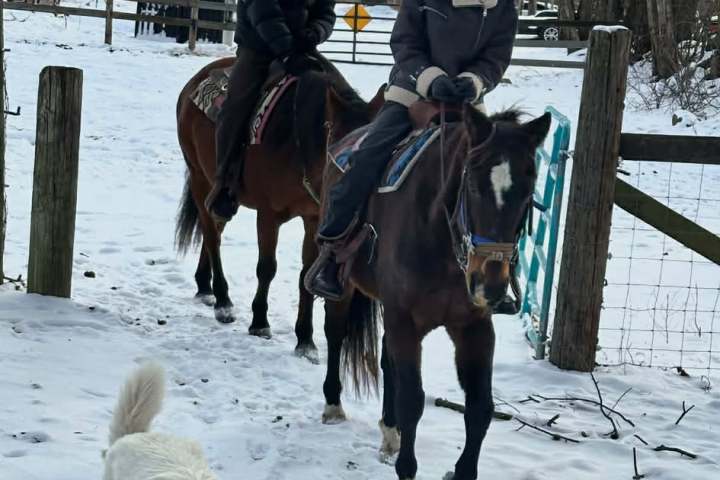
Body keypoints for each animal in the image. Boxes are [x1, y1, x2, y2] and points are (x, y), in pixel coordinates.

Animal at [175, 57, 383, 361]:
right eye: (341, 153)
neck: (297, 140)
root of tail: (195, 81)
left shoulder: (313, 218)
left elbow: (305, 275)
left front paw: (305, 340)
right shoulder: (268, 214)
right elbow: (267, 267)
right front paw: (260, 322)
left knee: (215, 228)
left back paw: (204, 286)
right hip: (201, 178)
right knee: (212, 236)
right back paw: (223, 301)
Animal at [319, 98, 552, 479]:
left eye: (528, 190)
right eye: (473, 184)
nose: (490, 284)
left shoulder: (472, 327)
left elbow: (480, 407)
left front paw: (461, 470)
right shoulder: (404, 320)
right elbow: (413, 400)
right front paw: (406, 467)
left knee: (387, 359)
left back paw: (390, 431)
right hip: (346, 286)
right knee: (336, 333)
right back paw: (334, 406)